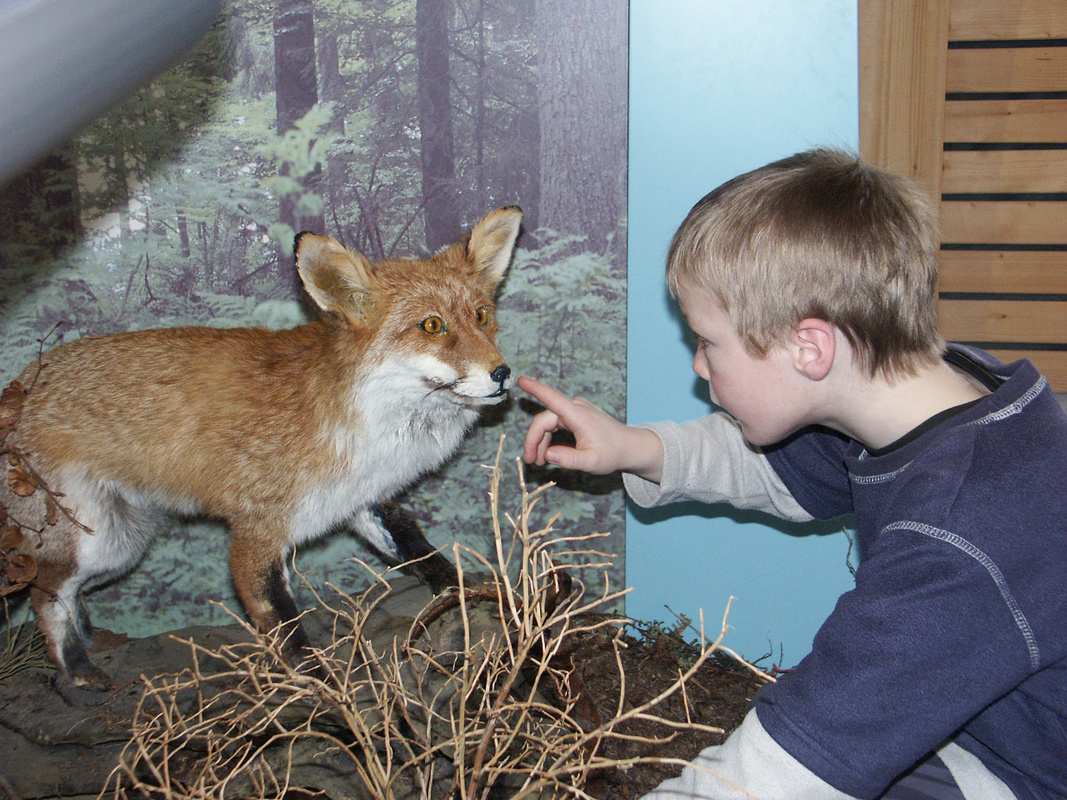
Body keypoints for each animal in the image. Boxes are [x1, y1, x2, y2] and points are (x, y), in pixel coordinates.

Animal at [3, 204, 520, 691]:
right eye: (432, 325)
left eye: (481, 316)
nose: (502, 373)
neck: (365, 425)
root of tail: (23, 381)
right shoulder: (255, 531)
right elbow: (287, 631)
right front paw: (333, 700)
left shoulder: (362, 498)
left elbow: (420, 551)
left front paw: (470, 591)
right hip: (95, 541)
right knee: (45, 593)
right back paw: (76, 668)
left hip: (122, 547)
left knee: (66, 591)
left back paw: (92, 638)